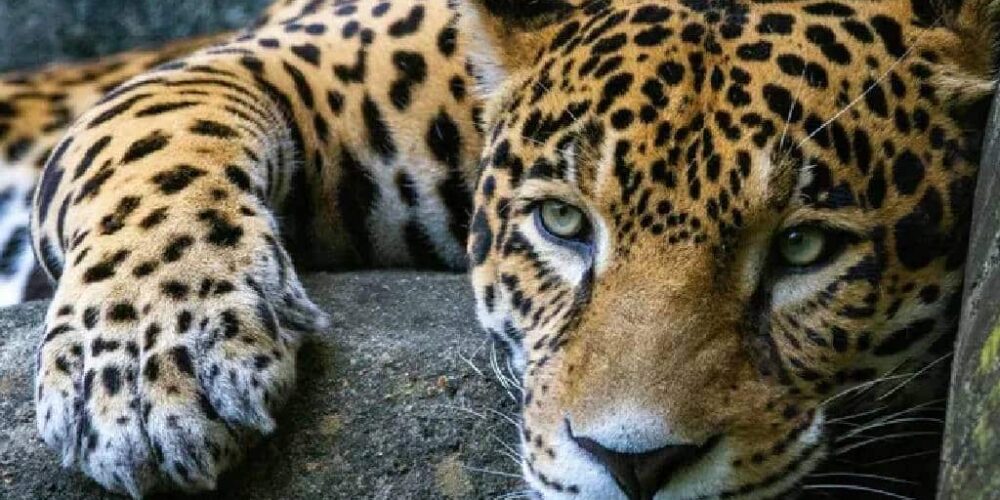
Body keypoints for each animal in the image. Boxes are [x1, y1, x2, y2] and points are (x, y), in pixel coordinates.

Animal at [0, 0, 994, 498]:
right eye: (563, 225)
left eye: (802, 247)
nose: (636, 467)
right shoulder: (291, 56)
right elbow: (157, 134)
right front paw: (144, 373)